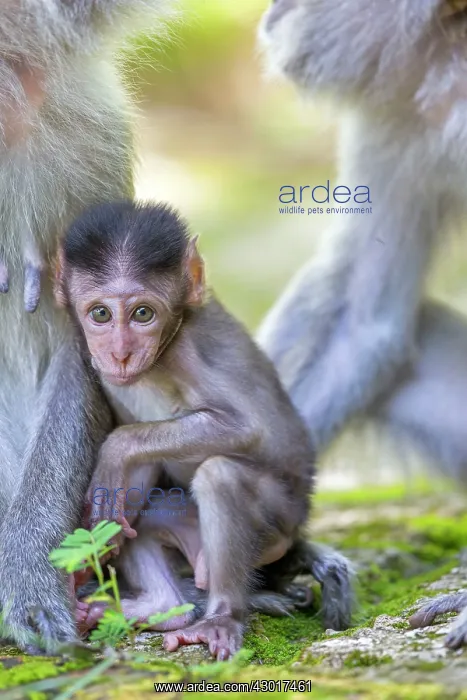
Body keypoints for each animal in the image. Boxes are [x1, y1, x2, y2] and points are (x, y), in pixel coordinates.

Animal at [55, 199, 353, 661]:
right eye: (100, 314)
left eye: (143, 313)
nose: (121, 354)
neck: (160, 357)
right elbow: (129, 482)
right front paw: (88, 557)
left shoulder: (190, 352)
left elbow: (249, 429)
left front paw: (116, 448)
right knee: (142, 511)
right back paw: (159, 608)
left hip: (277, 530)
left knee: (220, 476)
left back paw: (221, 617)